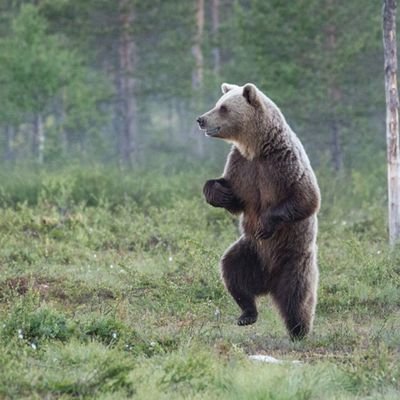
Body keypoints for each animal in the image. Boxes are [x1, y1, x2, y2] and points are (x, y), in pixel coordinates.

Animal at [198, 83, 322, 340]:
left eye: (223, 108)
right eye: (218, 103)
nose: (201, 119)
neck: (255, 147)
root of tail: (268, 282)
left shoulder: (283, 163)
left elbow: (306, 198)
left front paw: (266, 223)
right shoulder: (242, 167)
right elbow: (235, 198)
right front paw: (218, 192)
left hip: (294, 259)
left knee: (297, 297)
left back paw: (299, 332)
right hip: (250, 251)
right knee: (232, 271)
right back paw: (247, 314)